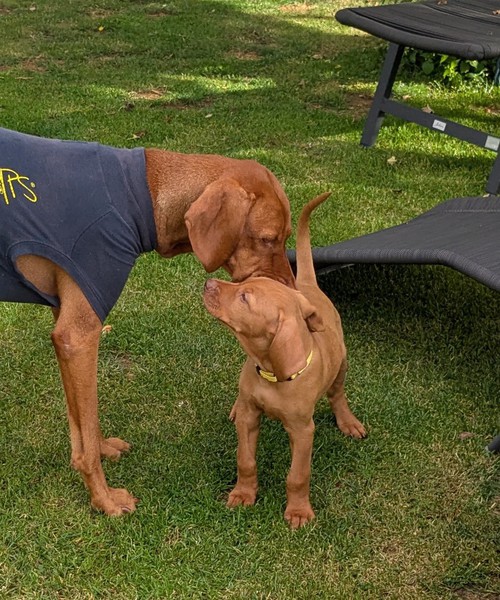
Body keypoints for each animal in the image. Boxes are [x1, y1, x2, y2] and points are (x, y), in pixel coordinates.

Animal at [0, 127, 295, 516]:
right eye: (267, 239)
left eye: (287, 237)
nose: (292, 289)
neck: (143, 194)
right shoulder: (78, 335)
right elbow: (86, 431)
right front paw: (104, 500)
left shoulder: (63, 323)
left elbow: (81, 424)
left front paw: (100, 449)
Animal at [203, 192, 366, 528]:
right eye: (242, 285)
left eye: (244, 298)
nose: (208, 284)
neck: (271, 372)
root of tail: (306, 286)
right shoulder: (251, 417)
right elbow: (245, 459)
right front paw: (243, 494)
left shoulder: (303, 431)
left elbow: (297, 475)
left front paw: (299, 511)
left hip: (342, 363)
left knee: (337, 394)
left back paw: (348, 421)